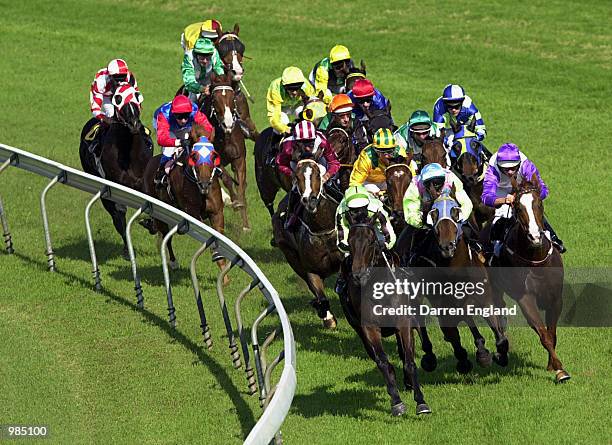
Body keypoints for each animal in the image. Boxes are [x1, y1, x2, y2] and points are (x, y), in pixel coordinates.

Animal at [79, 82, 152, 258]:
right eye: (118, 98)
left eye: (136, 95)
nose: (133, 124)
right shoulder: (117, 185)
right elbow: (120, 214)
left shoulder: (143, 182)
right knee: (117, 217)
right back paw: (127, 249)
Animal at [272, 159, 342, 326]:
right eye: (297, 177)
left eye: (317, 174)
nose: (309, 200)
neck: (323, 230)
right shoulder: (311, 270)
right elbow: (320, 296)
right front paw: (327, 317)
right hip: (290, 255)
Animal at [342, 212, 432, 416]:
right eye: (349, 241)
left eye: (371, 241)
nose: (358, 275)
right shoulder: (369, 328)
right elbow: (383, 362)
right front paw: (396, 402)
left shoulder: (403, 322)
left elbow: (409, 360)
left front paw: (421, 402)